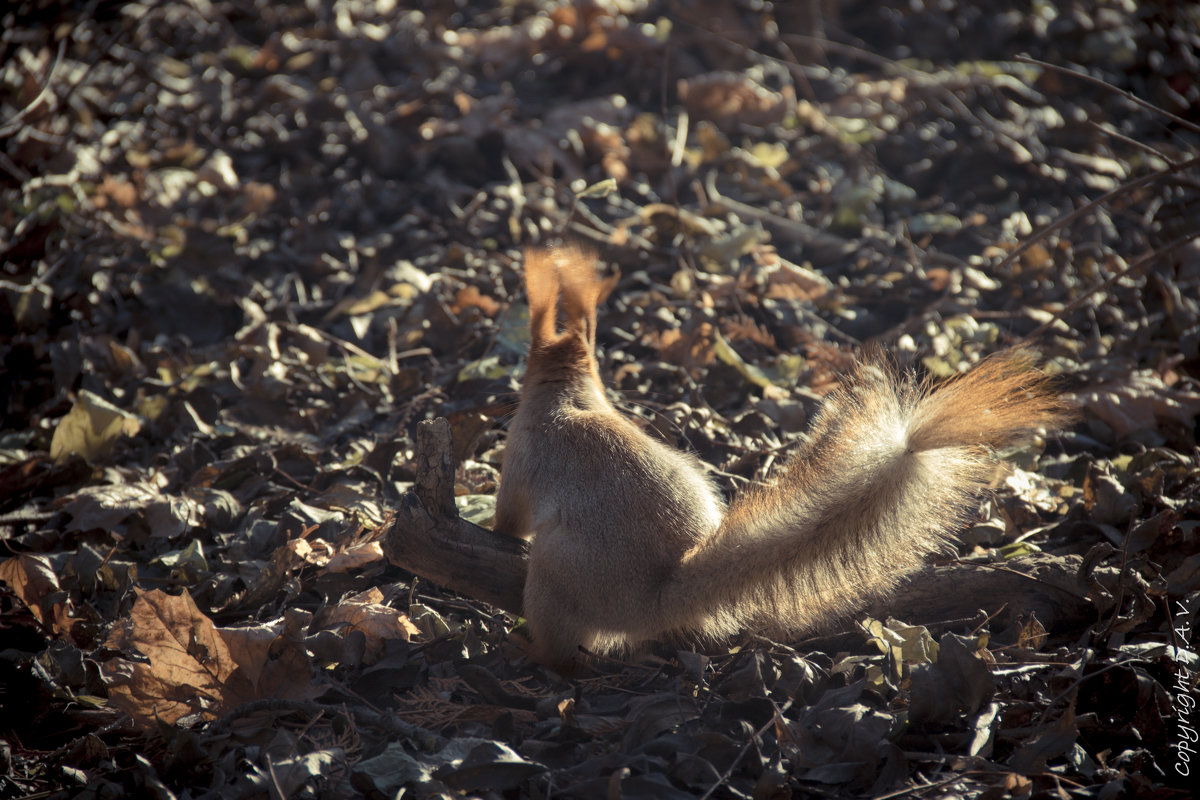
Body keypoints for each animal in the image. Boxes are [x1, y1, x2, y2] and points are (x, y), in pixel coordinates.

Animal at [492, 247, 1075, 671]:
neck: (572, 394)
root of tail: (657, 599)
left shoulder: (522, 457)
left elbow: (509, 515)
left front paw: (495, 530)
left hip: (553, 576)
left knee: (561, 652)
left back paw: (526, 647)